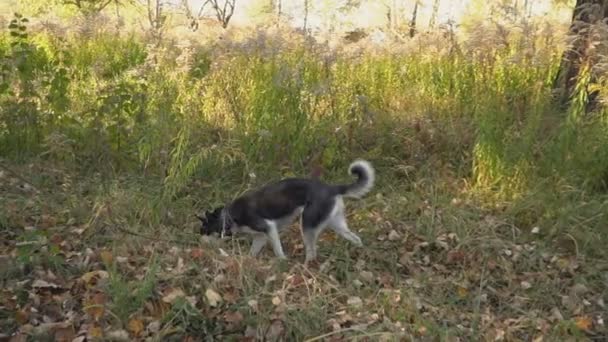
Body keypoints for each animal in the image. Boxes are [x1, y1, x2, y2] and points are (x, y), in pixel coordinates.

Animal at [197, 160, 372, 262]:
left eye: (204, 230)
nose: (199, 243)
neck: (230, 216)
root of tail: (331, 188)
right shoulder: (260, 237)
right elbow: (253, 252)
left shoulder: (269, 228)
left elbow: (277, 249)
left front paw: (281, 261)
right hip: (335, 224)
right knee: (356, 238)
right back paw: (360, 253)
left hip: (307, 225)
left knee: (312, 252)